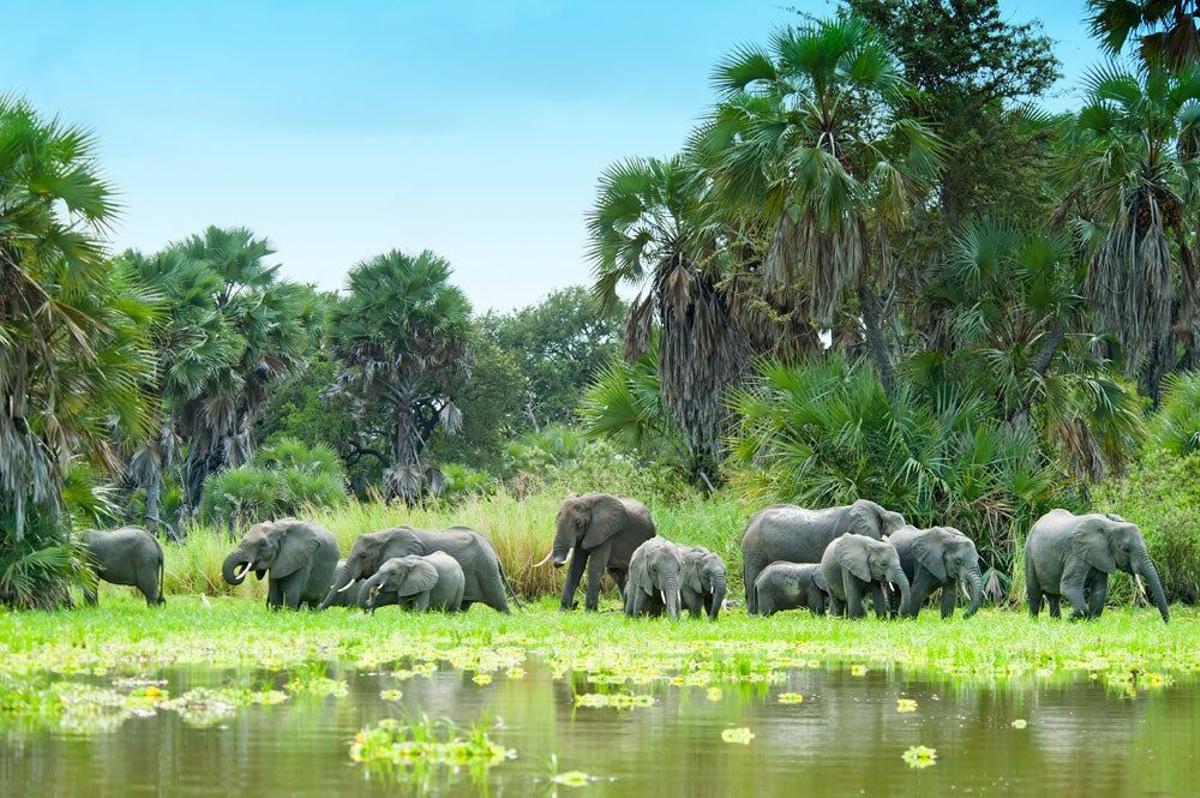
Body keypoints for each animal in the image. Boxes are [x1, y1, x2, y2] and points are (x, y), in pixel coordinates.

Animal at [319, 525, 511, 612]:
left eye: (363, 556)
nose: (319, 609)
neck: (383, 535)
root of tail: (490, 546)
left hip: (487, 570)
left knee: (500, 603)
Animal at [1022, 511, 1171, 624]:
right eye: (1126, 549)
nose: (1166, 623)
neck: (1110, 526)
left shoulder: (1100, 555)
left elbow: (1100, 589)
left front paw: (1092, 622)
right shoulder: (1076, 553)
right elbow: (1068, 587)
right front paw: (1072, 617)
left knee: (1054, 597)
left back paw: (1056, 622)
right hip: (1029, 554)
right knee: (1035, 593)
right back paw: (1034, 622)